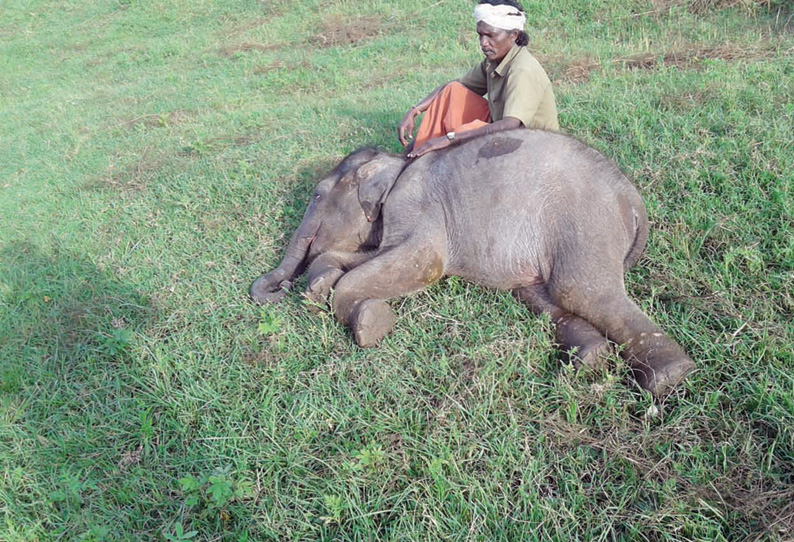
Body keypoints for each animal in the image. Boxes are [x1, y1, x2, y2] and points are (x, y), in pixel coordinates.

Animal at [249, 132, 692, 400]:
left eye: (316, 195)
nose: (278, 288)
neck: (399, 163)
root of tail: (632, 199)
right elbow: (371, 256)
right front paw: (318, 287)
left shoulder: (416, 203)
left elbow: (423, 262)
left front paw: (371, 324)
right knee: (541, 294)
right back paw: (589, 360)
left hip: (584, 223)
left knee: (580, 291)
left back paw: (670, 377)